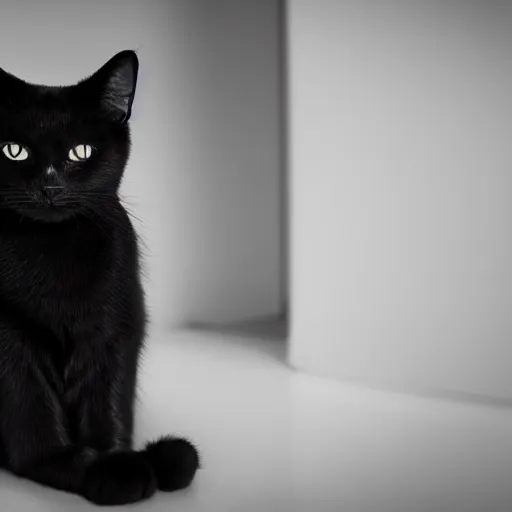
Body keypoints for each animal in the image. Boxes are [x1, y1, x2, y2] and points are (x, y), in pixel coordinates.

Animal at [0, 50, 199, 506]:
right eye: (14, 150)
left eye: (81, 151)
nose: (50, 186)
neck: (54, 254)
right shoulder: (11, 338)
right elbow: (31, 415)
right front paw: (82, 467)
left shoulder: (114, 329)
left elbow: (107, 403)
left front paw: (116, 456)